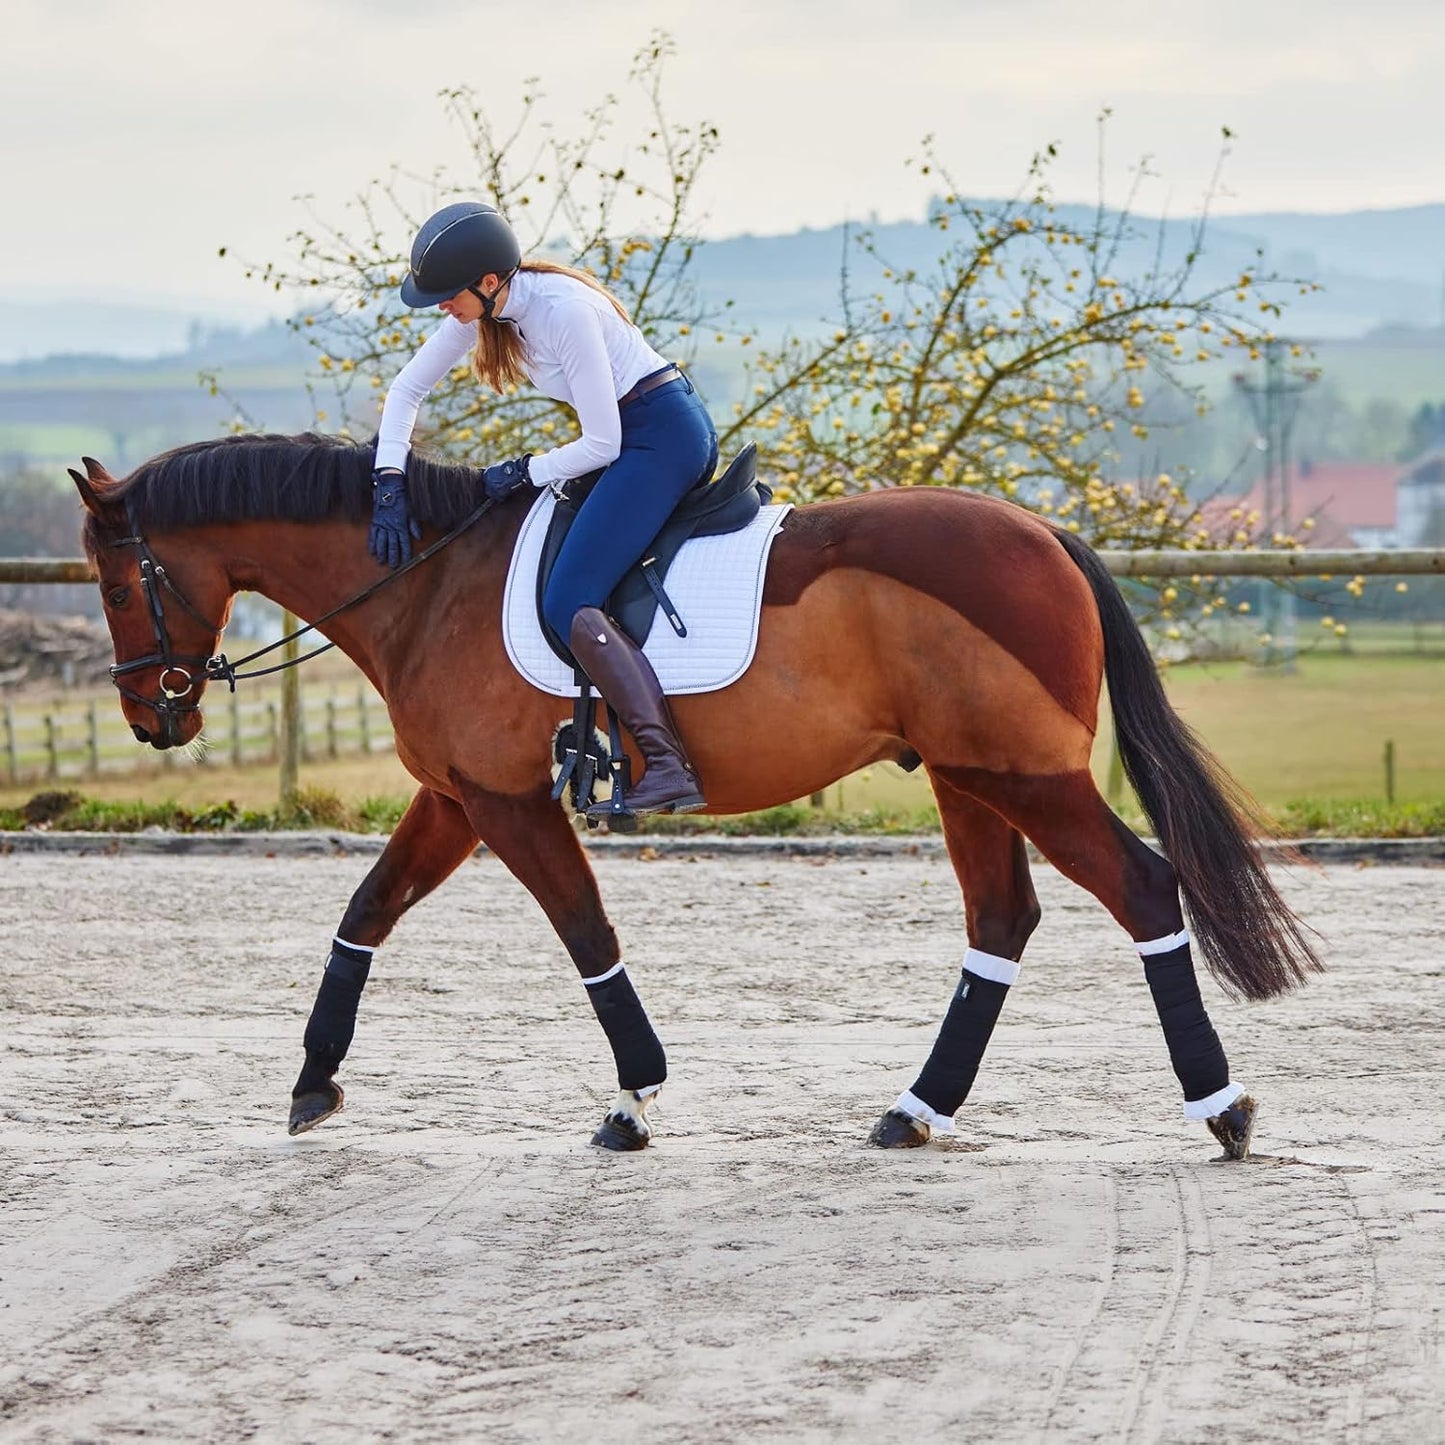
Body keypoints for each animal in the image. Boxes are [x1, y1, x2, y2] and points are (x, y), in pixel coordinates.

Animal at [72, 433, 1321, 1158]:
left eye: (116, 581)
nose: (150, 715)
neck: (425, 580)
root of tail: (1046, 534)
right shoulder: (459, 797)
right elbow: (363, 914)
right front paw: (314, 1077)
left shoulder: (507, 803)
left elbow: (586, 935)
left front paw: (635, 1098)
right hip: (966, 777)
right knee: (1000, 921)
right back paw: (915, 1108)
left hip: (1022, 775)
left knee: (1142, 890)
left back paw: (1219, 1105)